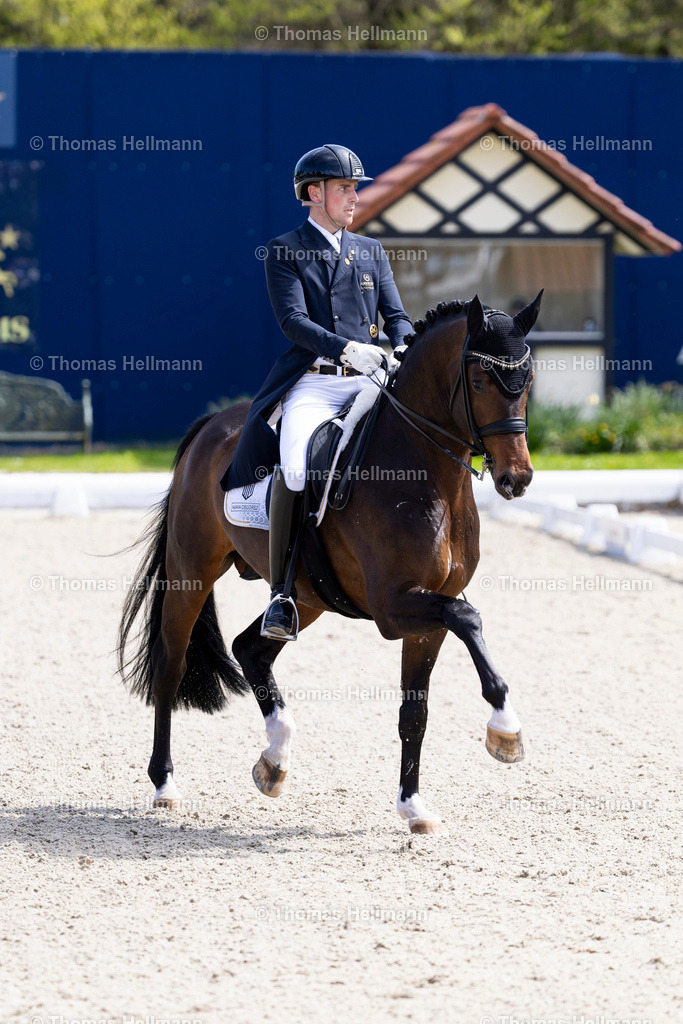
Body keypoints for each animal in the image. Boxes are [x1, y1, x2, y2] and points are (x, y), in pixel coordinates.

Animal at [118, 291, 542, 835]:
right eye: (480, 380)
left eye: (527, 379)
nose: (517, 479)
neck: (426, 473)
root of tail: (211, 425)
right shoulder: (393, 608)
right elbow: (470, 618)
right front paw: (506, 731)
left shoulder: (427, 616)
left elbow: (415, 713)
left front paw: (413, 806)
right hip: (192, 571)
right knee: (171, 664)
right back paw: (165, 784)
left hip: (306, 593)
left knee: (250, 648)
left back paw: (274, 758)